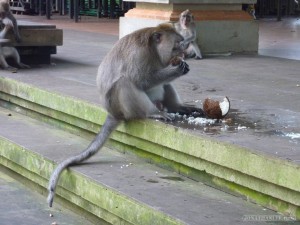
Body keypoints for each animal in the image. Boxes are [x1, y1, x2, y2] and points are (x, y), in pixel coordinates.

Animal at [47, 23, 206, 207]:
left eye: (182, 43)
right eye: (177, 45)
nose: (182, 52)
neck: (154, 51)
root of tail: (112, 112)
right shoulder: (139, 55)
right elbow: (141, 80)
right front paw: (176, 70)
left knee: (162, 86)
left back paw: (177, 107)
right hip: (122, 107)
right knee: (125, 82)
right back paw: (153, 113)